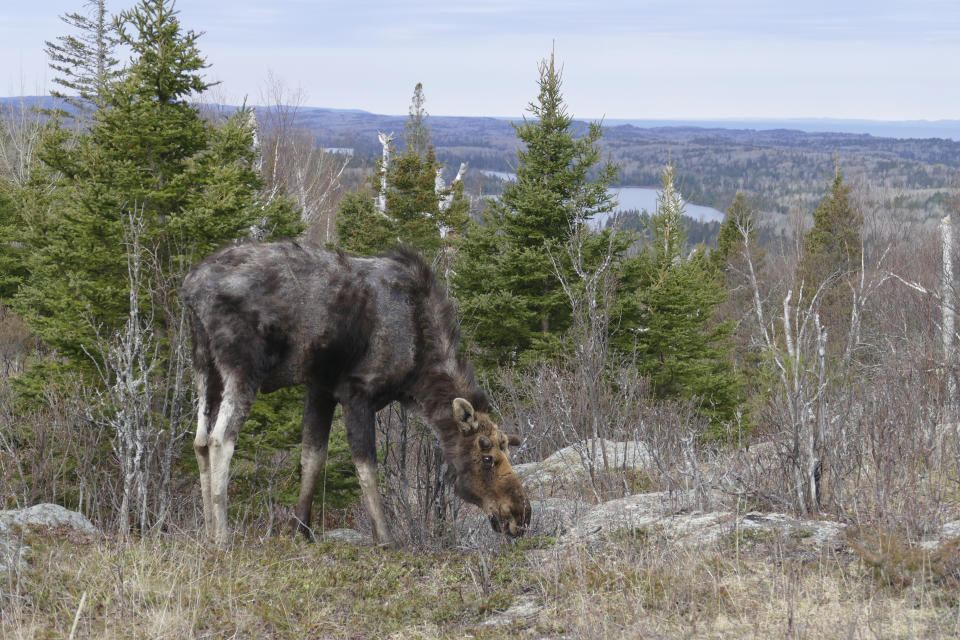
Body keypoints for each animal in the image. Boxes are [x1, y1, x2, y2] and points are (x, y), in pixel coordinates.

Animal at [182, 240, 532, 544]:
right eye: (487, 457)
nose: (522, 515)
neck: (417, 371)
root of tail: (191, 287)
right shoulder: (357, 391)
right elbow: (367, 467)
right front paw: (385, 538)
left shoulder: (320, 388)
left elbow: (312, 457)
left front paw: (301, 530)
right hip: (241, 367)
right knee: (220, 440)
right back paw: (223, 537)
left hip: (203, 366)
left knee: (199, 440)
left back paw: (208, 533)